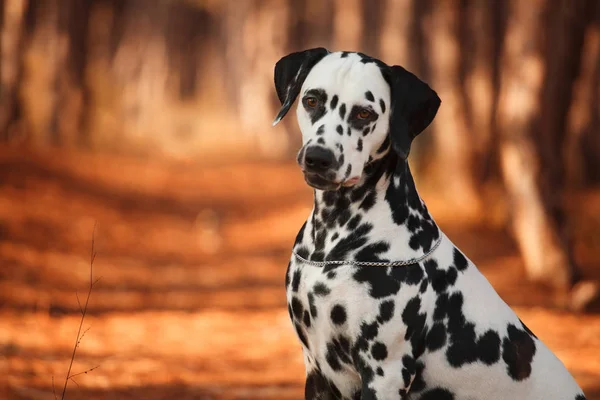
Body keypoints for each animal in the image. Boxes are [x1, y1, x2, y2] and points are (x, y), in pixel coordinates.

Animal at [274, 47, 584, 400]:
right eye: (312, 100)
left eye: (364, 114)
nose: (318, 157)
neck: (334, 240)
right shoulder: (316, 370)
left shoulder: (384, 373)